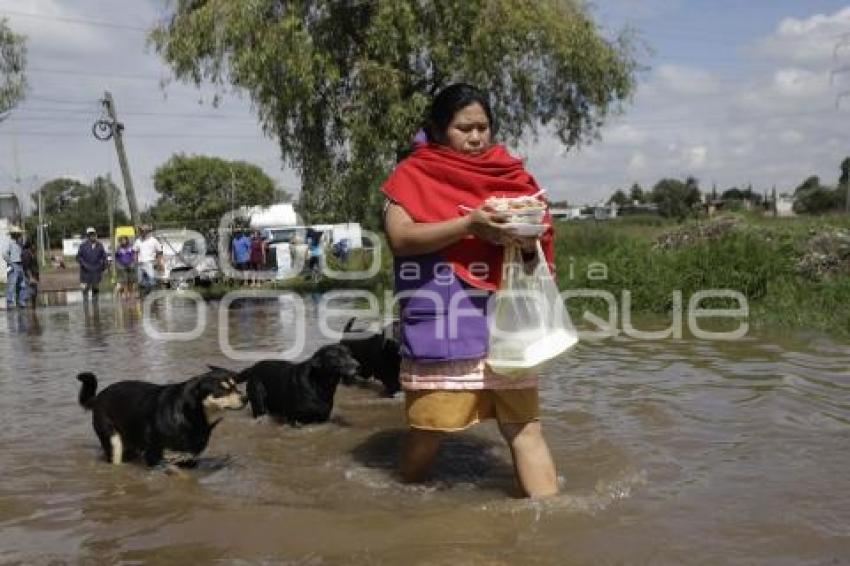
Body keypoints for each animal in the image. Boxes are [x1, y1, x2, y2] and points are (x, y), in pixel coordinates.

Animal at [76, 366, 245, 468]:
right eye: (222, 390)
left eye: (235, 386)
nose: (245, 398)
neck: (191, 416)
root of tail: (98, 397)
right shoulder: (154, 457)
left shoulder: (187, 459)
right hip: (113, 440)